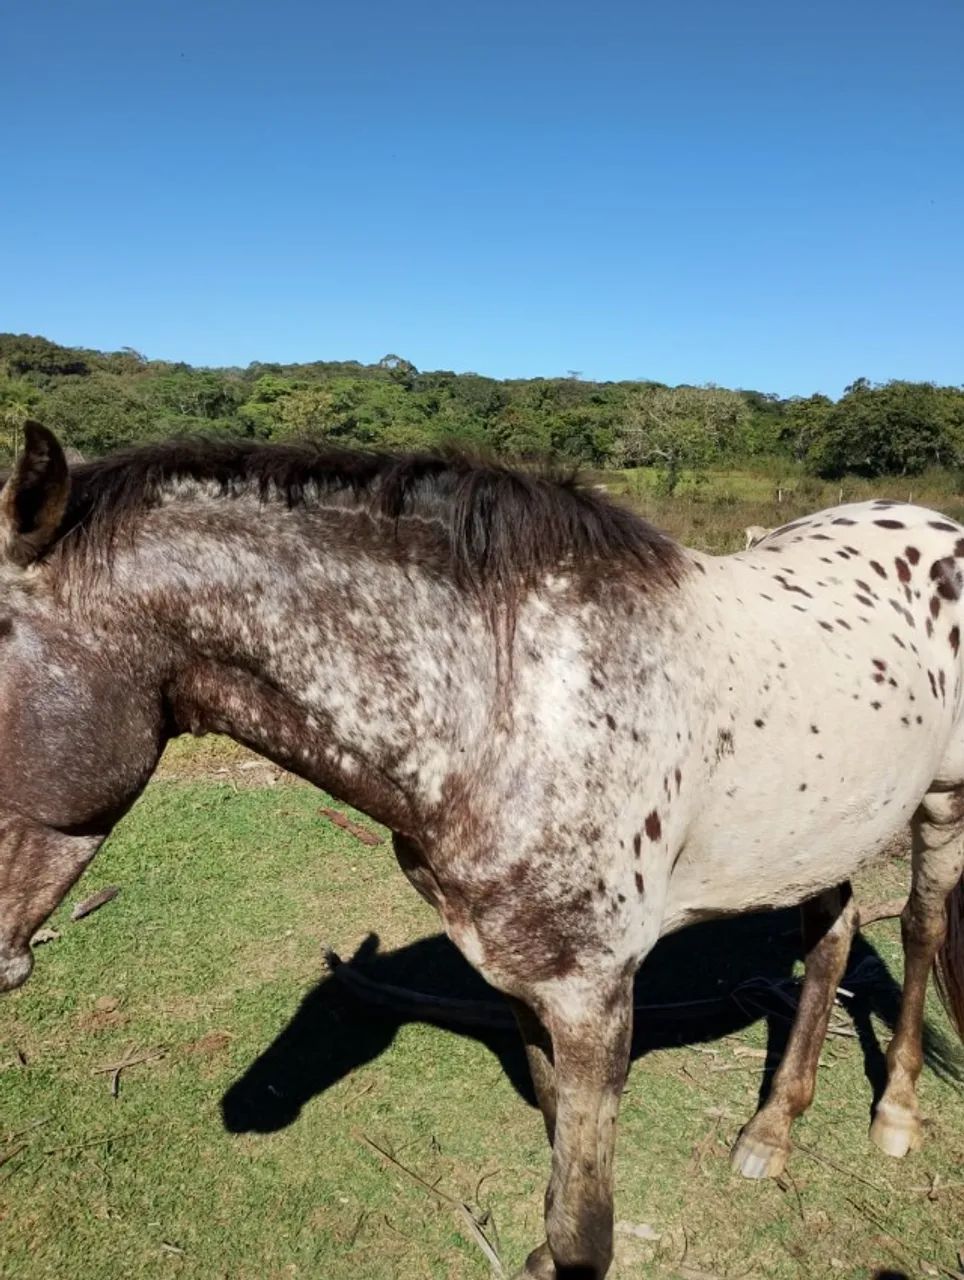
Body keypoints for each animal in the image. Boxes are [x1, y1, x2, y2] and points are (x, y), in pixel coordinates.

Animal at [1, 422, 962, 1280]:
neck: (509, 707)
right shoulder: (522, 979)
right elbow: (555, 1144)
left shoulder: (593, 996)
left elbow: (585, 1232)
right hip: (821, 828)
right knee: (832, 933)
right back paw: (771, 1130)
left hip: (940, 806)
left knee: (919, 926)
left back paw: (896, 1113)